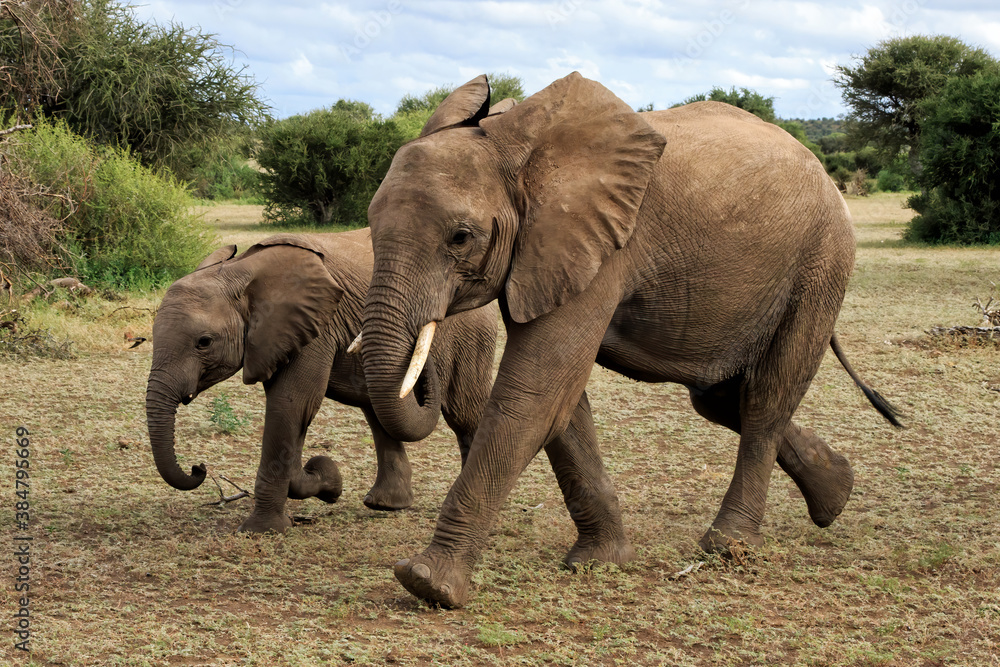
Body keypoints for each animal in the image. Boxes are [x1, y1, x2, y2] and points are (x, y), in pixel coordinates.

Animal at [144, 230, 496, 532]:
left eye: (204, 342)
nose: (199, 468)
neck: (240, 269)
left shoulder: (316, 328)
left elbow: (290, 404)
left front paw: (262, 530)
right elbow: (293, 412)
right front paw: (328, 484)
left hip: (471, 338)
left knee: (465, 416)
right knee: (379, 412)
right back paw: (385, 505)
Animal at [362, 74, 908, 612]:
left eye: (460, 237)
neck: (518, 144)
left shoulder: (602, 248)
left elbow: (534, 395)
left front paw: (428, 584)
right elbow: (563, 403)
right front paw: (599, 562)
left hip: (821, 262)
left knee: (767, 398)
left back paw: (727, 547)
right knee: (720, 397)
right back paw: (836, 494)